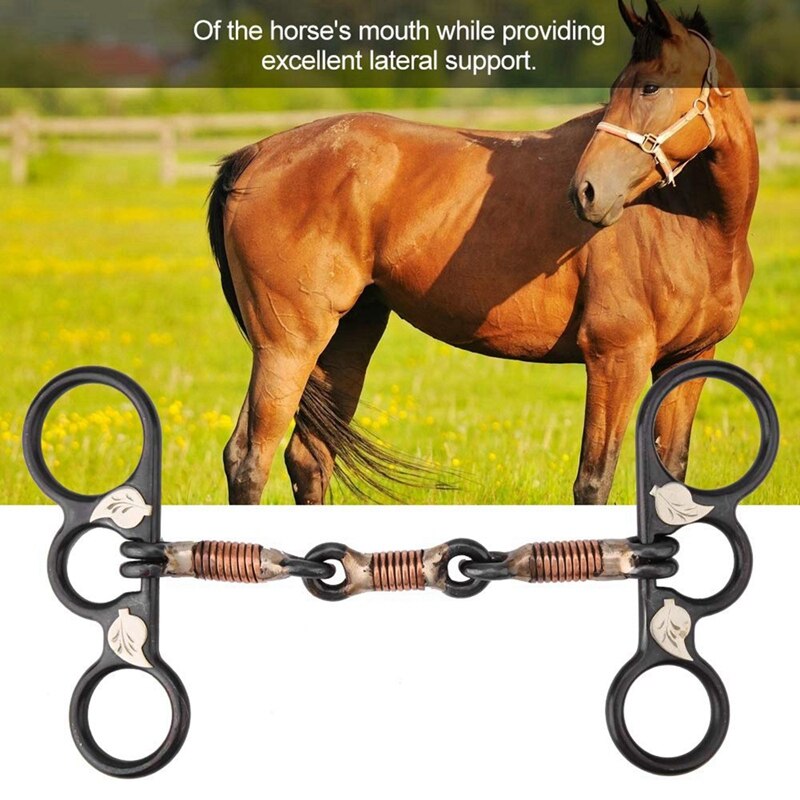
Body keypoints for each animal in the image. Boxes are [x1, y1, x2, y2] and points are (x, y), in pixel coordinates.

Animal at [207, 0, 758, 505]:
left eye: (650, 87)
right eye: (616, 90)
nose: (586, 192)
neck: (692, 223)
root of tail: (255, 156)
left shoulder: (689, 359)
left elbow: (673, 476)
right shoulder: (615, 359)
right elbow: (594, 481)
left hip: (346, 338)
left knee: (308, 458)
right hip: (287, 346)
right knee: (248, 458)